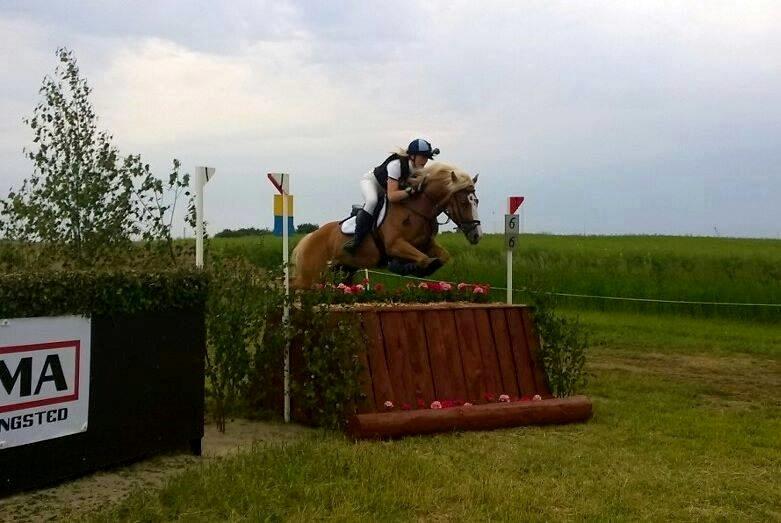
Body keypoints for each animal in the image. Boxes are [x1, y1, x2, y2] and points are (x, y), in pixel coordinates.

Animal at [291, 161, 482, 289]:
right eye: (464, 202)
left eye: (476, 201)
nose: (477, 235)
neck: (416, 210)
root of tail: (311, 236)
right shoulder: (395, 245)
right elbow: (422, 259)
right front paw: (405, 266)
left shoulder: (426, 244)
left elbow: (442, 257)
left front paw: (420, 268)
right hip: (312, 273)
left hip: (345, 269)